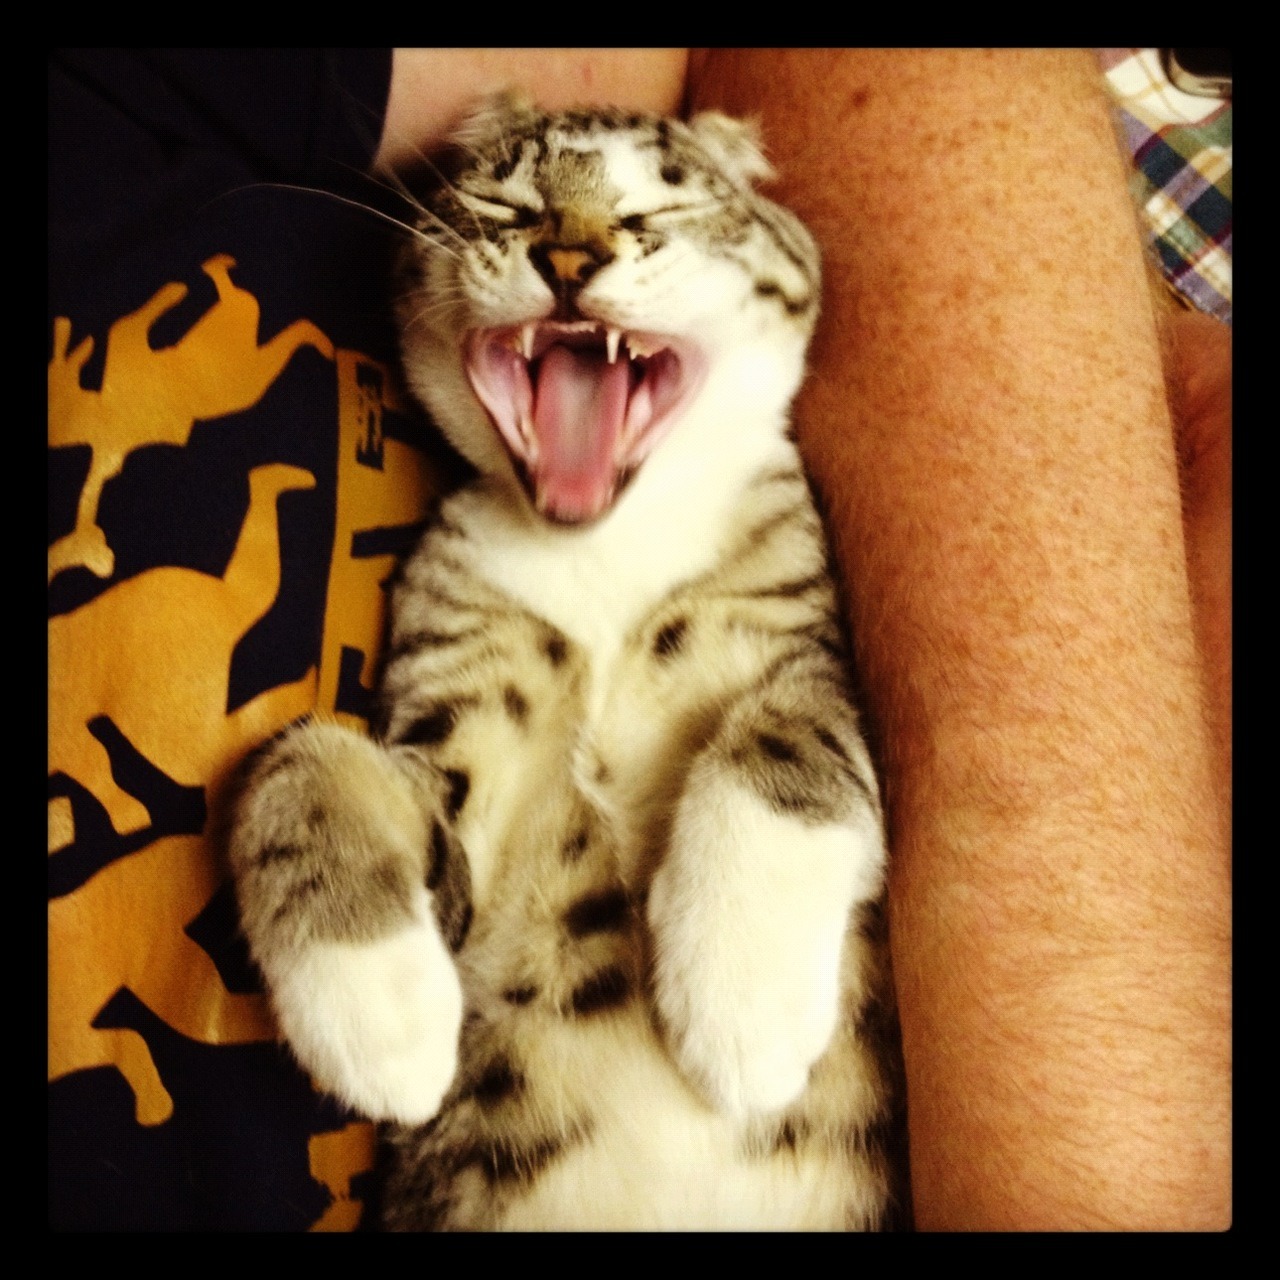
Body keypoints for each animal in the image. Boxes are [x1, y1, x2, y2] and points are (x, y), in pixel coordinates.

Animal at [229, 94, 905, 1231]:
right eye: (507, 199)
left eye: (658, 207)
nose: (568, 253)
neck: (602, 552)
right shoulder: (452, 725)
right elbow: (306, 759)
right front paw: (382, 1018)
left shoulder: (815, 645)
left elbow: (785, 726)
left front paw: (740, 1000)